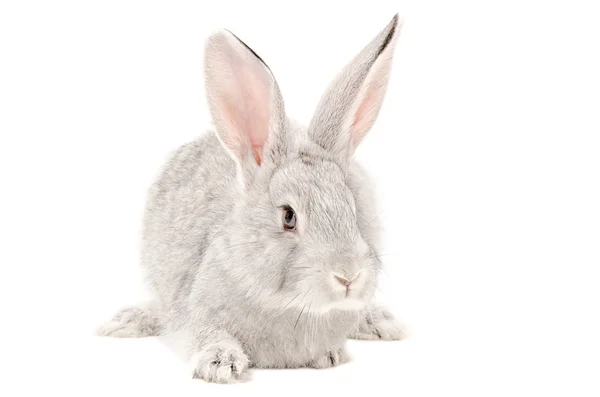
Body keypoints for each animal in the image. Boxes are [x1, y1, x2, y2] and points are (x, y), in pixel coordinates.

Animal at [98, 13, 406, 382]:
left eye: (352, 208)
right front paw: (221, 364)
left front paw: (329, 354)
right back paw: (125, 321)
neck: (288, 304)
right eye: (288, 216)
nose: (348, 276)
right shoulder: (196, 313)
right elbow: (206, 333)